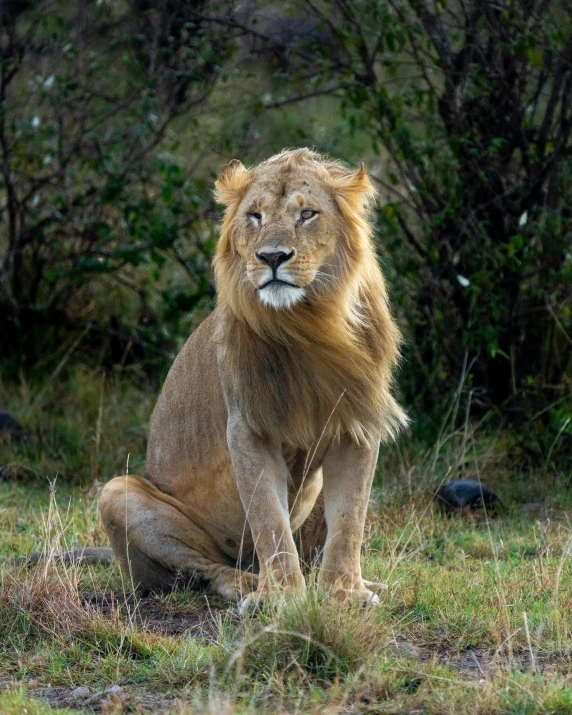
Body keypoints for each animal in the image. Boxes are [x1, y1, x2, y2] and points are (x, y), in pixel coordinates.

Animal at [100, 148, 408, 608]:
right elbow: (269, 520)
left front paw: (344, 594)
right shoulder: (248, 428)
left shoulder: (356, 422)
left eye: (307, 214)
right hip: (118, 494)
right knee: (206, 568)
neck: (311, 324)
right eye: (255, 216)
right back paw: (247, 586)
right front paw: (281, 597)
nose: (272, 257)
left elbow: (350, 519)